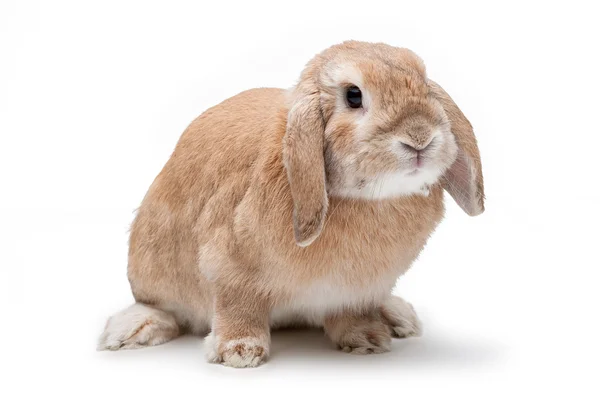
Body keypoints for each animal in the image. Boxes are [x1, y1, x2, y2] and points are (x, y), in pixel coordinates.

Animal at [97, 40, 482, 366]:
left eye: (424, 83)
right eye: (353, 96)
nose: (420, 137)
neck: (369, 198)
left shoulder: (357, 290)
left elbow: (352, 312)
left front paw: (367, 339)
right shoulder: (230, 268)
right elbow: (239, 305)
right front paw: (239, 352)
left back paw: (397, 315)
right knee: (162, 307)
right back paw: (129, 330)